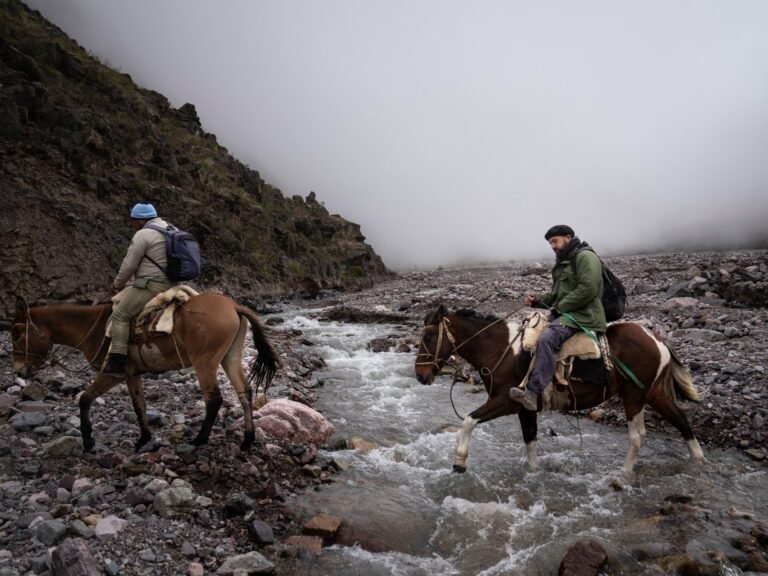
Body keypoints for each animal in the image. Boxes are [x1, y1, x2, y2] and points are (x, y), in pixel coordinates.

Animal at [10, 294, 280, 452]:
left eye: (16, 334)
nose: (19, 370)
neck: (94, 329)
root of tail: (233, 306)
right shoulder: (132, 374)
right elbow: (138, 404)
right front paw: (144, 438)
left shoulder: (113, 373)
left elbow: (85, 399)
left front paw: (88, 441)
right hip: (229, 357)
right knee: (244, 391)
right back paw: (247, 439)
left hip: (204, 362)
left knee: (214, 399)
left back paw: (199, 440)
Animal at [416, 306, 704, 472]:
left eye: (428, 336)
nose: (420, 375)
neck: (502, 349)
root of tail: (657, 340)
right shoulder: (526, 408)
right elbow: (530, 443)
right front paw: (533, 474)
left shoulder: (506, 402)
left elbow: (468, 420)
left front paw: (459, 462)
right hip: (654, 393)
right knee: (682, 421)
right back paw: (698, 461)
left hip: (634, 395)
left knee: (638, 435)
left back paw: (622, 475)